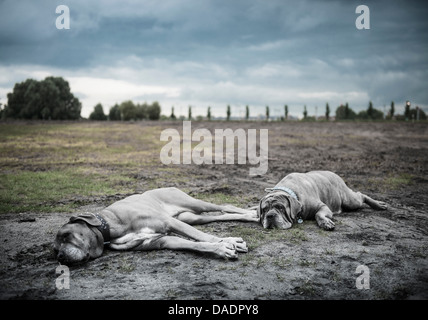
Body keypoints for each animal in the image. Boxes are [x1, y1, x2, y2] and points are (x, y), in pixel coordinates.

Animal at [55, 186, 260, 264]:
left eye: (66, 235)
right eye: (54, 249)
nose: (60, 257)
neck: (110, 226)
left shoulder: (169, 223)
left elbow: (203, 236)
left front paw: (227, 242)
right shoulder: (163, 240)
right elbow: (196, 244)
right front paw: (222, 247)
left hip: (194, 205)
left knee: (225, 206)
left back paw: (253, 214)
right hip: (191, 218)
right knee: (219, 215)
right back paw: (250, 217)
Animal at [258, 170, 388, 230]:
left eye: (281, 207)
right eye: (264, 210)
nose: (270, 216)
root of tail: (334, 173)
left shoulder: (323, 207)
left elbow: (318, 214)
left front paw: (326, 223)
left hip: (349, 201)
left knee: (361, 195)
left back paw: (379, 204)